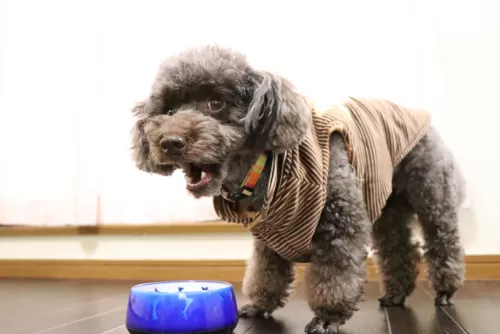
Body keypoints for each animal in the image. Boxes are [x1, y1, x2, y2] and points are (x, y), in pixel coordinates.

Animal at [129, 45, 464, 334]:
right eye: (168, 110)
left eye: (216, 103)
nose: (170, 142)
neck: (262, 170)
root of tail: (415, 112)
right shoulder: (269, 236)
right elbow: (266, 273)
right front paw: (258, 305)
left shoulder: (339, 225)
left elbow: (335, 275)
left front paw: (328, 317)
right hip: (387, 207)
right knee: (399, 248)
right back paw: (395, 294)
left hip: (431, 193)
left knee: (442, 241)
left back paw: (446, 291)